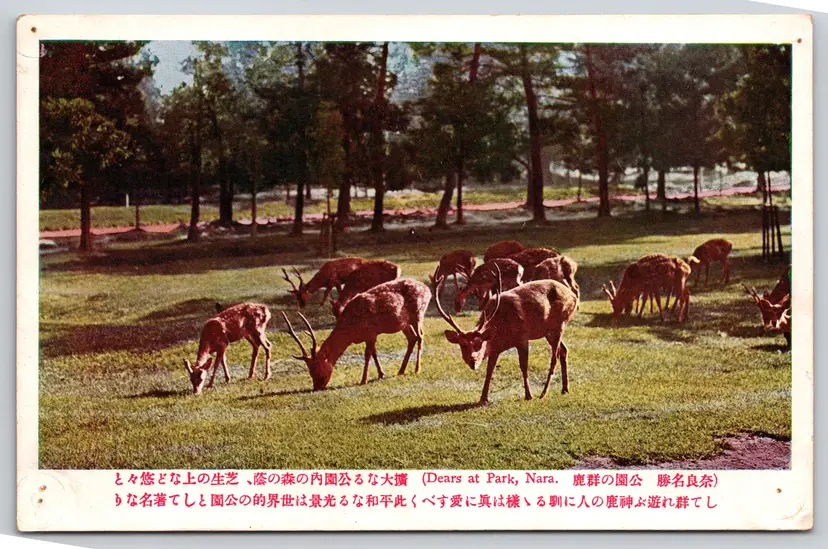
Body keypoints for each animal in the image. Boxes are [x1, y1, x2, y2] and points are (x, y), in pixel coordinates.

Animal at [282, 278, 431, 390]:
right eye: (309, 370)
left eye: (317, 367)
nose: (317, 387)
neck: (351, 331)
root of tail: (427, 290)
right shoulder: (370, 335)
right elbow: (374, 353)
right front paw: (381, 374)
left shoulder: (371, 332)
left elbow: (368, 355)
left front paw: (363, 380)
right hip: (404, 324)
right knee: (412, 338)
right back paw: (401, 370)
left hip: (418, 313)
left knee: (420, 336)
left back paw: (417, 369)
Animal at [435, 264, 579, 405]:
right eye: (462, 345)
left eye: (479, 343)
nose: (473, 361)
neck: (502, 332)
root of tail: (573, 296)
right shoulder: (495, 348)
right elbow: (489, 370)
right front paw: (483, 398)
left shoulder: (522, 337)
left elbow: (524, 366)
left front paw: (528, 395)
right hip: (549, 331)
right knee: (564, 351)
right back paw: (565, 389)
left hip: (560, 323)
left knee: (554, 357)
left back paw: (544, 393)